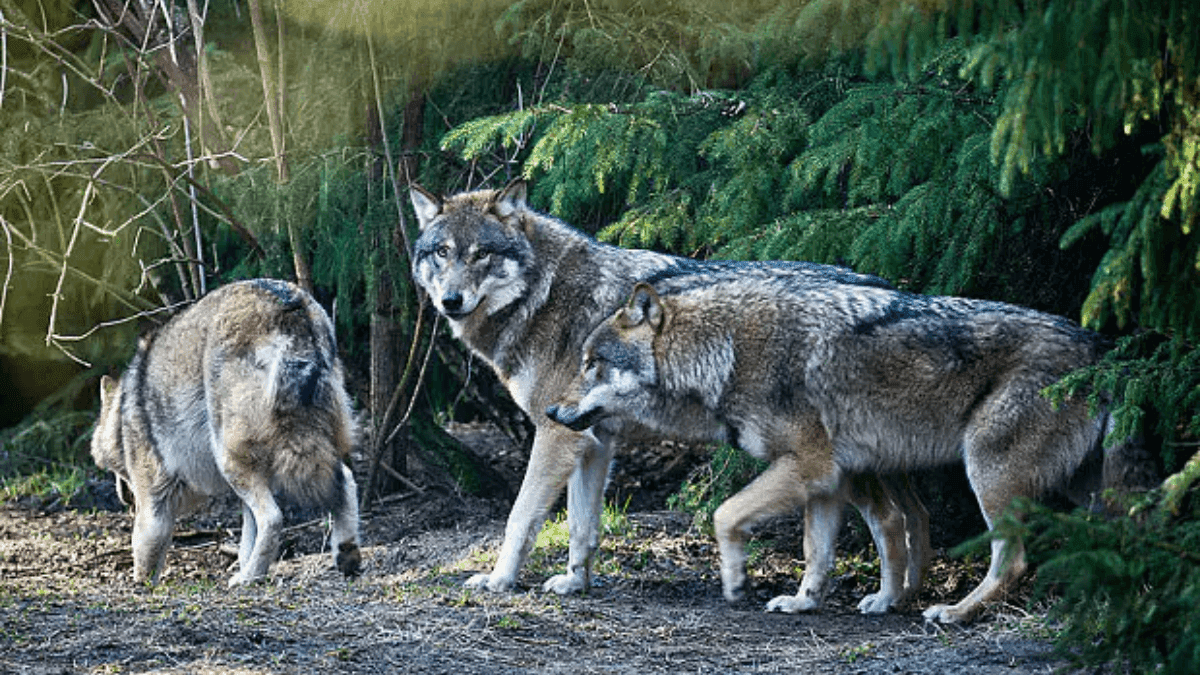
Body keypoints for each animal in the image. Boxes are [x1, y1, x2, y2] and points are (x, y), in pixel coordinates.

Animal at [91, 278, 362, 586]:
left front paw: (140, 585)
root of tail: (290, 304)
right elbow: (246, 539)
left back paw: (248, 579)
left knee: (274, 517)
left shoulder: (153, 505)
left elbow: (144, 553)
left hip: (229, 460)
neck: (122, 418)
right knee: (347, 482)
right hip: (297, 453)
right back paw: (346, 554)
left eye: (116, 469)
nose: (123, 497)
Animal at [410, 180, 931, 614]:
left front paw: (498, 581)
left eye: (481, 254)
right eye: (442, 253)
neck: (545, 295)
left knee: (890, 519)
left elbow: (520, 518)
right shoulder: (593, 440)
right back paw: (907, 598)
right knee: (916, 515)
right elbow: (582, 527)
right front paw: (575, 583)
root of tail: (889, 288)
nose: (450, 301)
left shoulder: (557, 434)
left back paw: (886, 600)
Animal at [546, 278, 1159, 623]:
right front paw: (804, 602)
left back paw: (956, 613)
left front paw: (736, 580)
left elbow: (724, 515)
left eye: (592, 364)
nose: (551, 412)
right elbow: (817, 553)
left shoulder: (808, 466)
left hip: (989, 473)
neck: (724, 354)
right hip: (1083, 489)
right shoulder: (826, 479)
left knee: (1015, 560)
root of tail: (1103, 349)